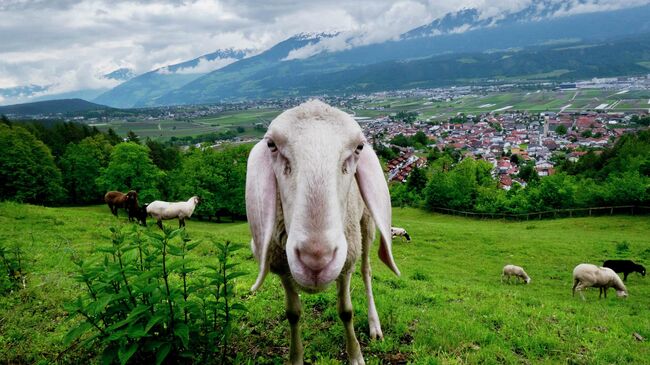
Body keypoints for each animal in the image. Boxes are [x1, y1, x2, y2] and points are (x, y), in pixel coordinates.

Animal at [246, 99, 400, 364]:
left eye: (359, 147)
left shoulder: (345, 263)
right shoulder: (282, 267)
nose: (316, 259)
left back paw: (374, 325)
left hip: (365, 225)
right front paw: (295, 358)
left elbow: (346, 312)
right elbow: (293, 314)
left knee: (366, 271)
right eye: (271, 145)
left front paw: (355, 355)